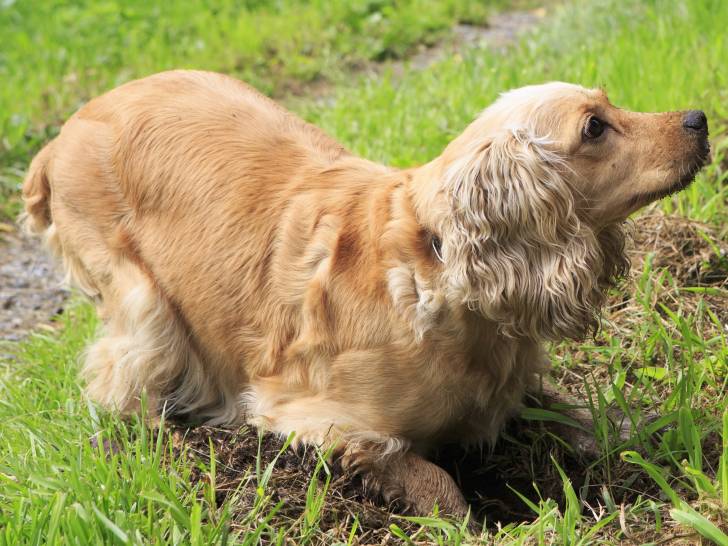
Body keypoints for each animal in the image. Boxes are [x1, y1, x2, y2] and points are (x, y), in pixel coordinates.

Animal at [19, 70, 708, 512]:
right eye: (594, 128)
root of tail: (58, 138)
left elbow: (590, 418)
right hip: (141, 304)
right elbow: (434, 483)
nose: (700, 118)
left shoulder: (510, 392)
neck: (438, 267)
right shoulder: (306, 414)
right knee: (121, 382)